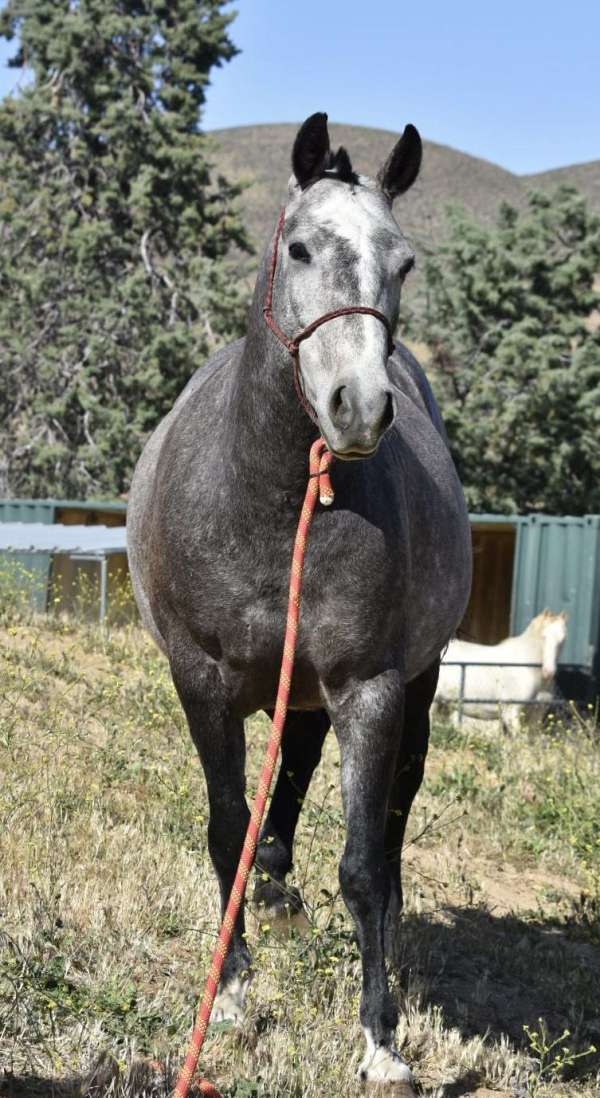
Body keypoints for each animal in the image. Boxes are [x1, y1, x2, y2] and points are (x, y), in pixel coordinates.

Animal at [127, 112, 472, 1091]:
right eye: (302, 247)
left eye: (404, 264)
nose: (357, 407)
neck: (274, 499)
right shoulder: (202, 681)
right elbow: (225, 831)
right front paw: (236, 997)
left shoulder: (370, 688)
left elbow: (361, 864)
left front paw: (380, 1039)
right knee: (292, 770)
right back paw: (276, 886)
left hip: (414, 690)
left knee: (386, 830)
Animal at [435, 609, 567, 731]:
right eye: (544, 637)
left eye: (562, 639)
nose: (549, 672)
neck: (527, 668)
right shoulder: (511, 713)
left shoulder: (535, 716)